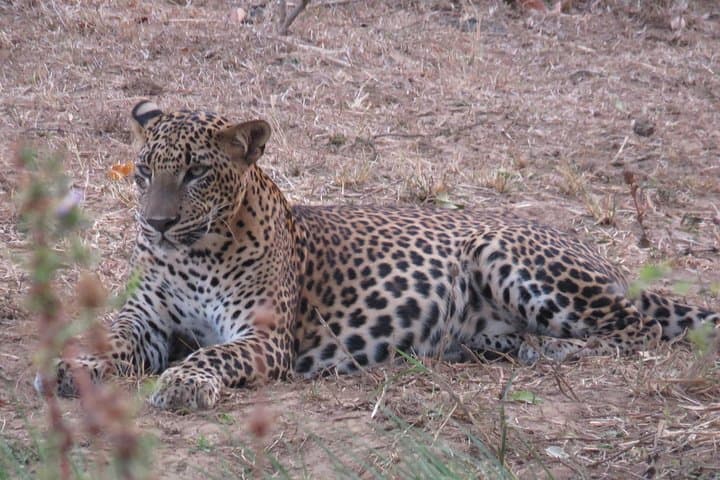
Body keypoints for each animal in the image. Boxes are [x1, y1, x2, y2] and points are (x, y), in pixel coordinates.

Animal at [36, 100, 719, 410]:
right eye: (143, 172)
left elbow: (213, 355)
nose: (154, 225)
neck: (195, 254)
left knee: (635, 331)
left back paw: (552, 350)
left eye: (197, 173)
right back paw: (499, 347)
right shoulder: (148, 319)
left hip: (503, 250)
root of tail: (609, 262)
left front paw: (182, 382)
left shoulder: (262, 339)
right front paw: (73, 369)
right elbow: (112, 337)